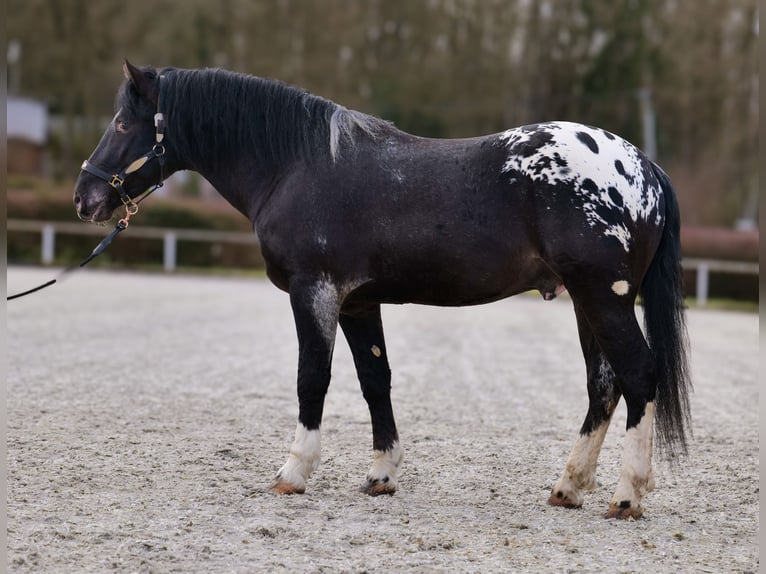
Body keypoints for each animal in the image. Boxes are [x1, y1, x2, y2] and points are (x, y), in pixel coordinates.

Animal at [75, 63, 692, 520]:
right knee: (603, 387)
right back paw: (568, 488)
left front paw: (293, 474)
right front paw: (380, 475)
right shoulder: (357, 302)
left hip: (604, 297)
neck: (297, 165)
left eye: (123, 124)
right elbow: (376, 380)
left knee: (639, 376)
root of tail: (645, 167)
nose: (85, 198)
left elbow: (312, 379)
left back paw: (627, 496)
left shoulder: (315, 291)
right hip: (588, 302)